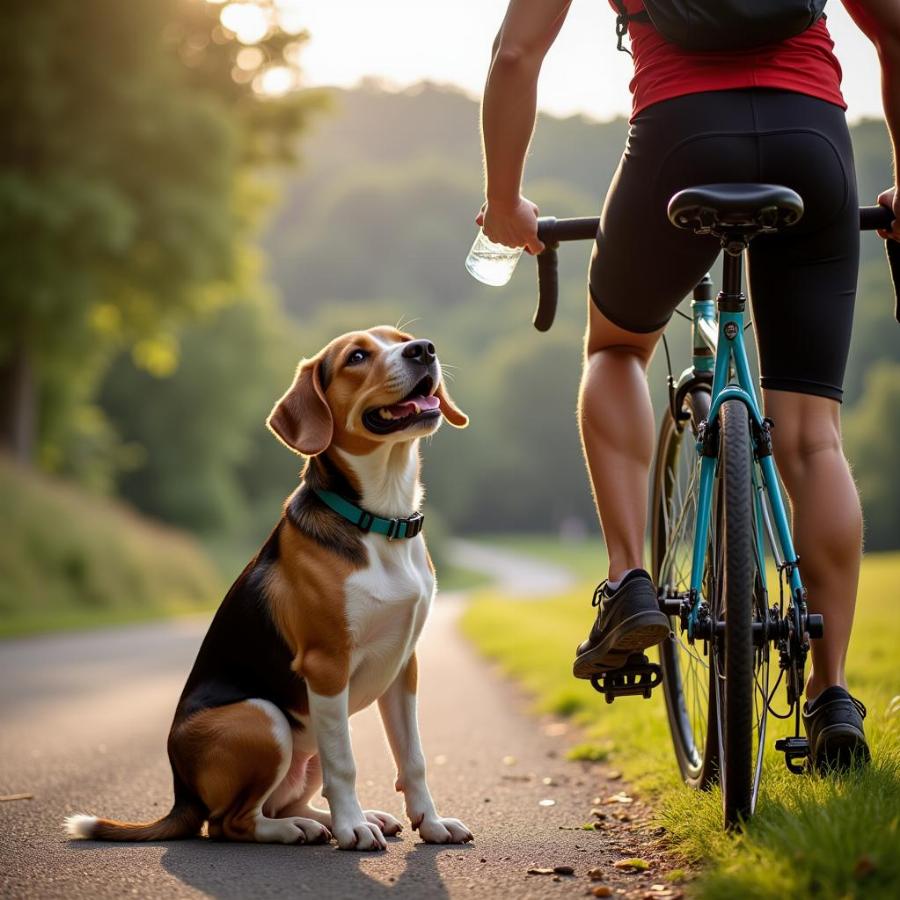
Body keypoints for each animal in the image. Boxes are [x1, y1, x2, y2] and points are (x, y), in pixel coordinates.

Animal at [67, 326, 474, 852]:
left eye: (402, 338)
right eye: (356, 357)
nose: (423, 350)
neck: (381, 520)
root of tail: (182, 795)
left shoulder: (404, 665)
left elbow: (414, 758)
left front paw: (432, 823)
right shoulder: (326, 664)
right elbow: (346, 765)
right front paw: (353, 830)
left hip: (310, 739)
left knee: (288, 799)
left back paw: (329, 821)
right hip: (263, 718)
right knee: (231, 822)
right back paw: (309, 828)